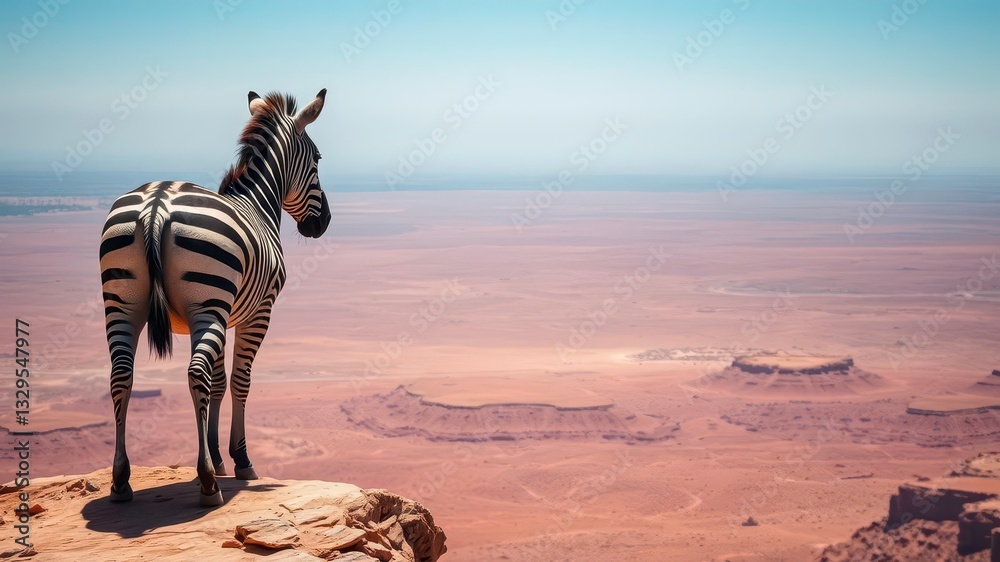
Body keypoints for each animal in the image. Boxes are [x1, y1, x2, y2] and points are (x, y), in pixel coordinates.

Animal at [99, 89, 331, 506]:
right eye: (318, 158)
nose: (323, 224)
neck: (258, 205)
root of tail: (156, 205)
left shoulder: (223, 313)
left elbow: (220, 382)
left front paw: (218, 456)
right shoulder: (256, 312)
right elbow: (239, 381)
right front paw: (239, 460)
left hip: (123, 304)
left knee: (121, 376)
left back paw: (121, 480)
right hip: (206, 304)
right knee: (195, 373)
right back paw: (208, 483)